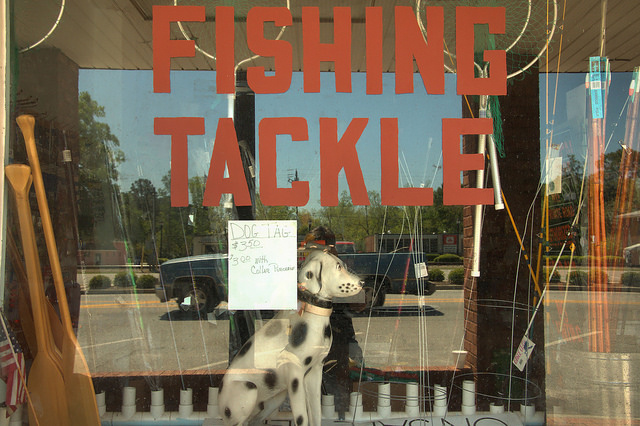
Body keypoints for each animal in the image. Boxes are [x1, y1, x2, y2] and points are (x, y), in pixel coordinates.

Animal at [218, 249, 363, 426]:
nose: (363, 282)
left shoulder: (315, 372)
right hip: (249, 389)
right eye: (338, 267)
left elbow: (316, 413)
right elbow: (302, 418)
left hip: (275, 399)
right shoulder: (295, 376)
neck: (312, 315)